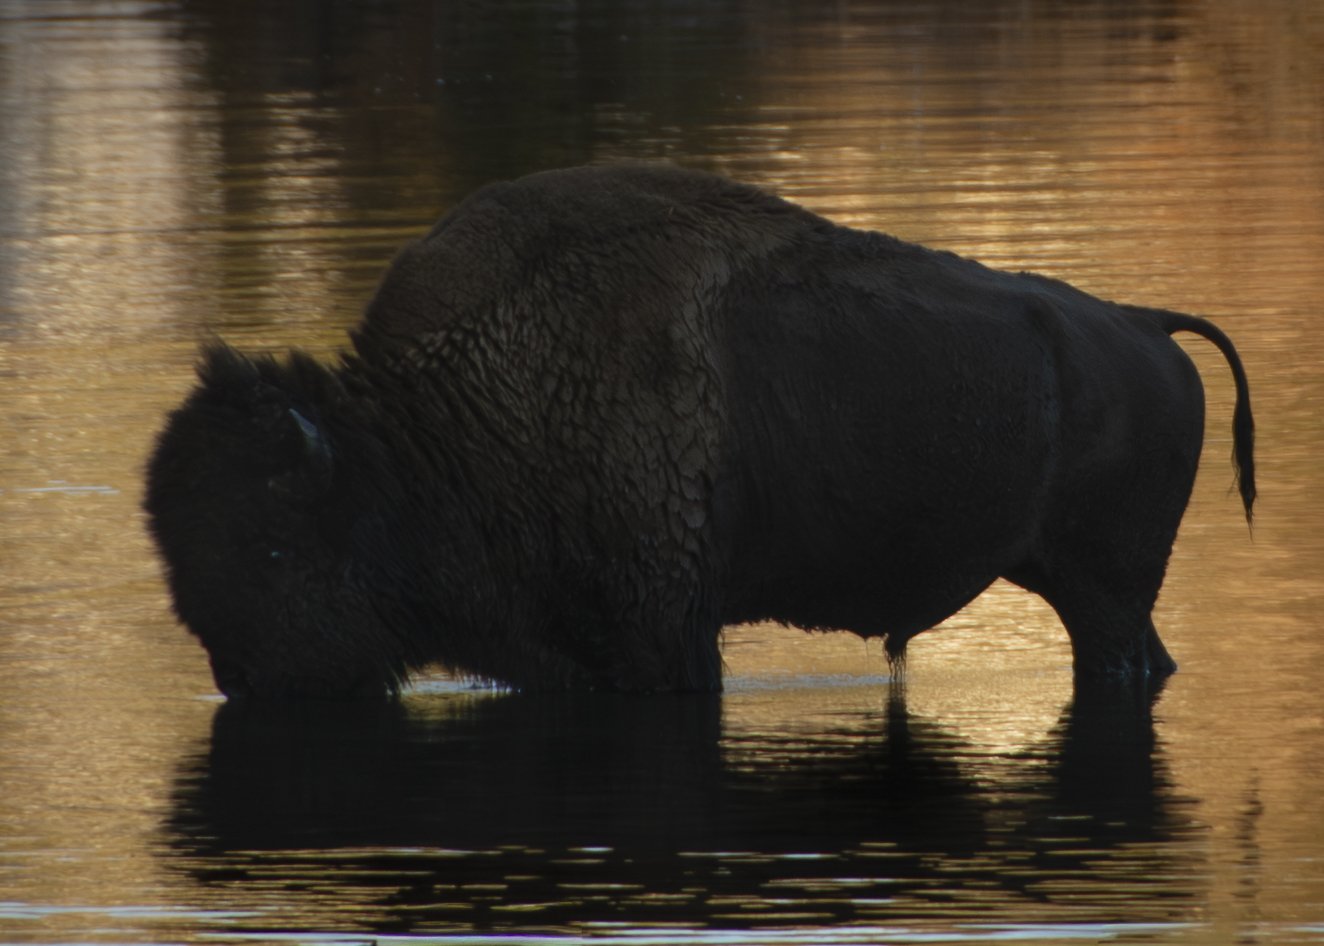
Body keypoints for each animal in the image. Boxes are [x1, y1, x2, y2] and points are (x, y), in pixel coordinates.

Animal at [144, 164, 1255, 699]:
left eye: (273, 545)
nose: (237, 679)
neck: (433, 432)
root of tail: (1144, 325)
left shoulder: (659, 635)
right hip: (1086, 585)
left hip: (1106, 593)